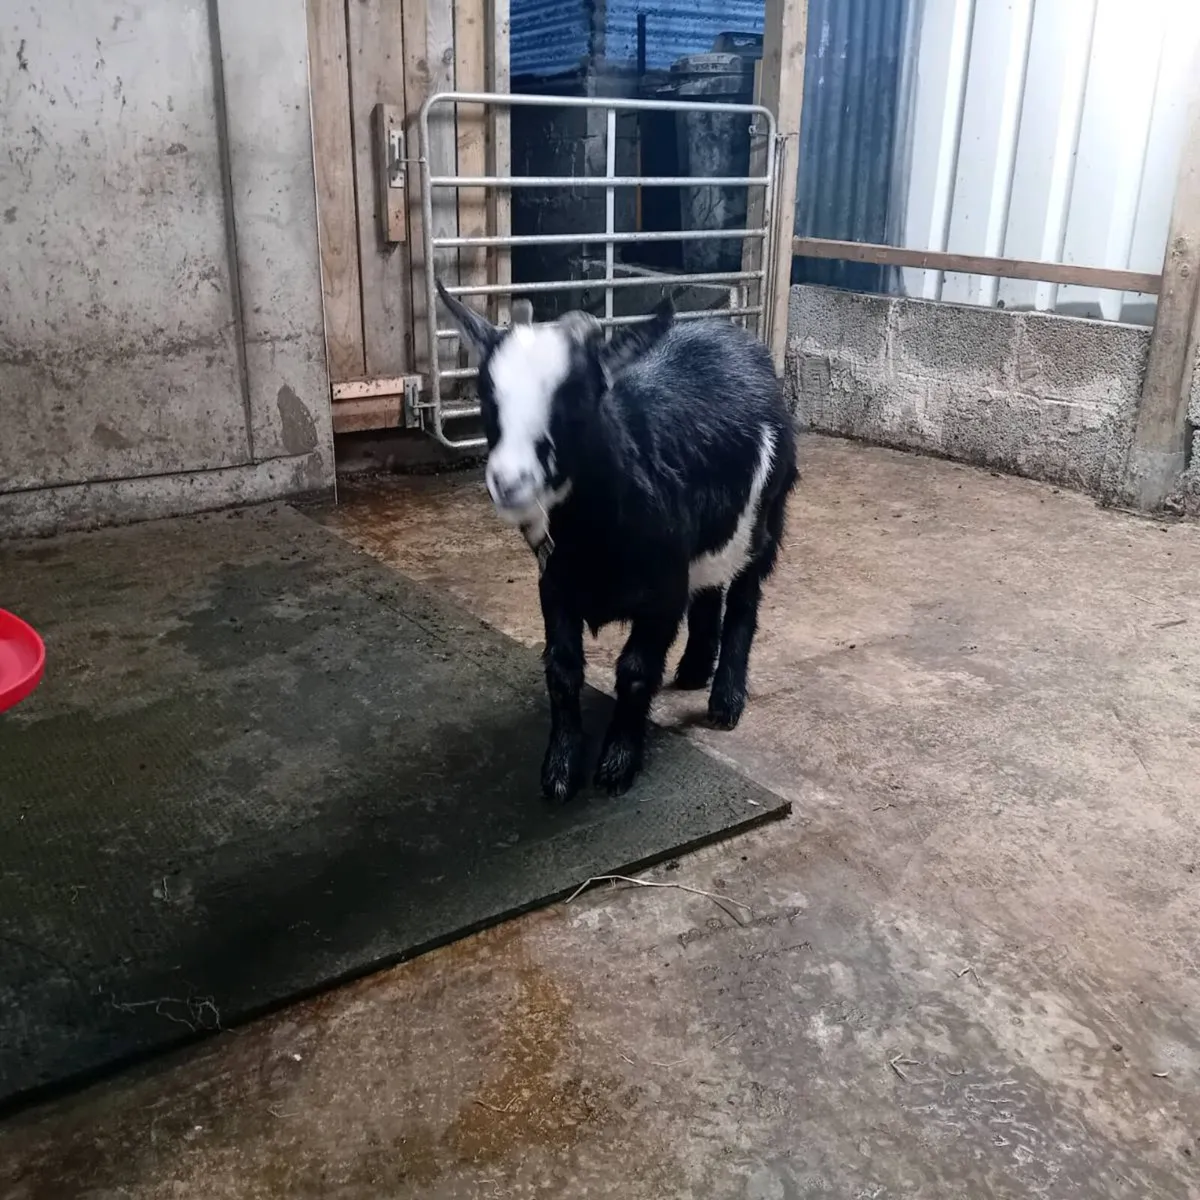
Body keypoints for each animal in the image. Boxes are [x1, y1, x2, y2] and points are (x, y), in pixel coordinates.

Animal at [436, 280, 798, 802]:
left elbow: (635, 670)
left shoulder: (663, 591)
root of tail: (729, 333)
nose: (509, 481)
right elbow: (562, 669)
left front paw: (617, 766)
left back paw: (725, 700)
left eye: (577, 401)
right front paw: (560, 770)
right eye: (487, 398)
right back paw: (694, 669)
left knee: (745, 601)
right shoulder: (555, 583)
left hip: (768, 515)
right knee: (710, 587)